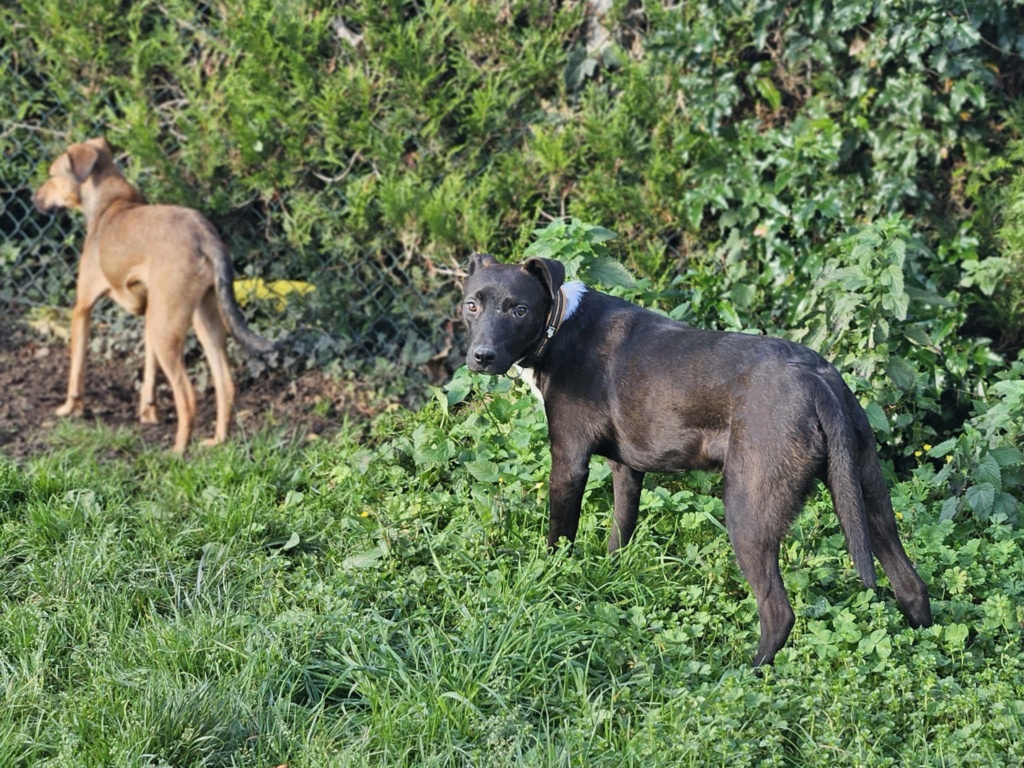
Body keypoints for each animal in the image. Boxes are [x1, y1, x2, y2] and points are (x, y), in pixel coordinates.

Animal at [33, 137, 274, 454]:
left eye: (52, 175)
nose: (34, 199)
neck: (111, 203)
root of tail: (203, 233)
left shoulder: (82, 308)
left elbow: (77, 367)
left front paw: (70, 408)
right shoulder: (148, 311)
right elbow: (149, 371)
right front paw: (148, 411)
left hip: (166, 329)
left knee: (188, 397)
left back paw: (177, 451)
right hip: (199, 320)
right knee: (226, 385)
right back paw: (217, 441)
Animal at [466, 257, 937, 667]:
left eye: (519, 309)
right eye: (471, 305)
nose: (481, 356)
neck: (559, 323)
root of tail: (815, 378)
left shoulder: (568, 463)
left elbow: (559, 540)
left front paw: (549, 585)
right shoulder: (628, 469)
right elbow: (620, 534)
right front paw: (609, 579)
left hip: (748, 511)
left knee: (778, 612)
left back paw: (747, 671)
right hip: (867, 495)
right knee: (911, 584)